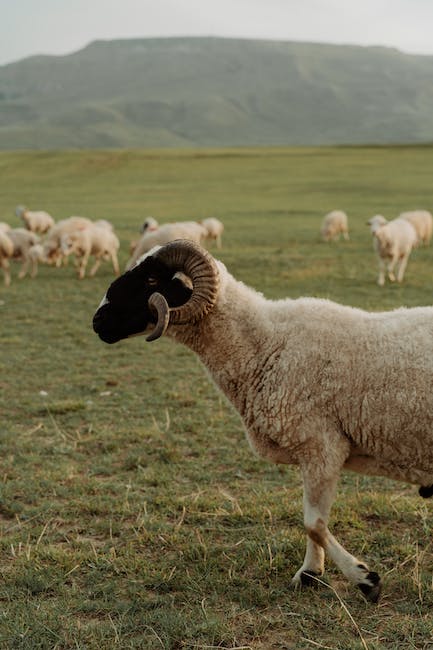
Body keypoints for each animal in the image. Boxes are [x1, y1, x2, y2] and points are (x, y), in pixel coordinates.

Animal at [93, 239, 433, 602]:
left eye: (151, 280)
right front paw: (310, 573)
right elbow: (313, 524)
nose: (97, 321)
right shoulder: (313, 453)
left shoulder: (322, 446)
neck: (265, 345)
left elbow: (314, 524)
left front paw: (364, 579)